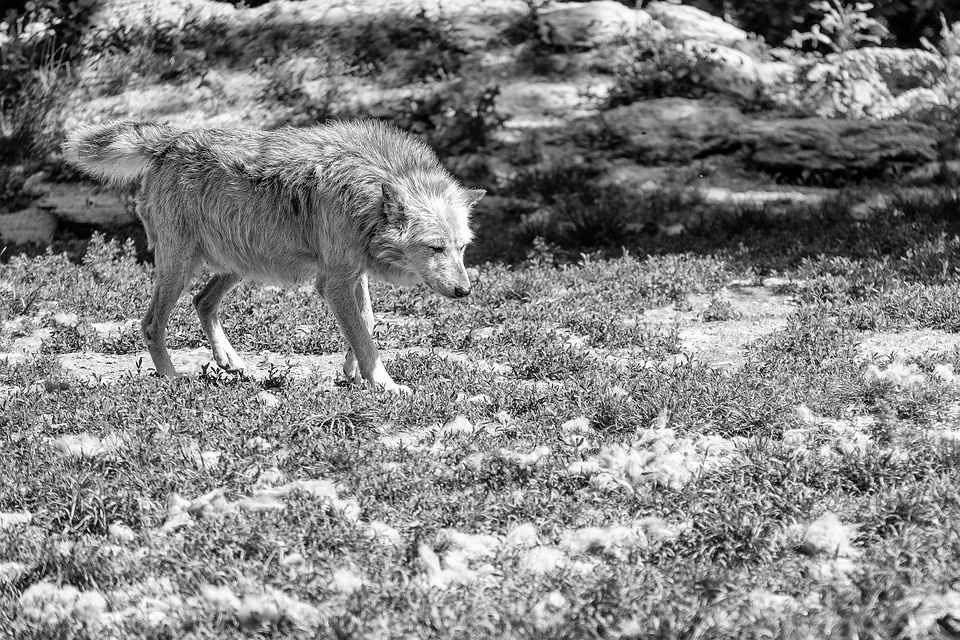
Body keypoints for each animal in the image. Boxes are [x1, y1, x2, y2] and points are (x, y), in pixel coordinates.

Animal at [61, 117, 484, 392]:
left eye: (462, 248)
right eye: (435, 247)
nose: (464, 291)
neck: (365, 187)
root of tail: (170, 139)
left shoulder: (351, 274)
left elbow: (365, 323)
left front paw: (354, 371)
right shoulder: (333, 282)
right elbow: (364, 336)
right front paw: (384, 383)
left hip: (238, 264)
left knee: (202, 302)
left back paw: (228, 360)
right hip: (181, 268)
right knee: (151, 323)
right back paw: (172, 379)